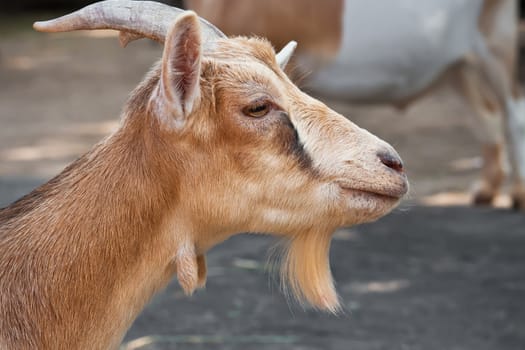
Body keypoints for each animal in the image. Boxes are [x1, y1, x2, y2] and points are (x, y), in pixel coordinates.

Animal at [185, 0, 525, 211]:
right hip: (457, 67)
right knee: (484, 114)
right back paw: (486, 190)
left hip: (496, 42)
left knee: (513, 114)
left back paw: (518, 195)